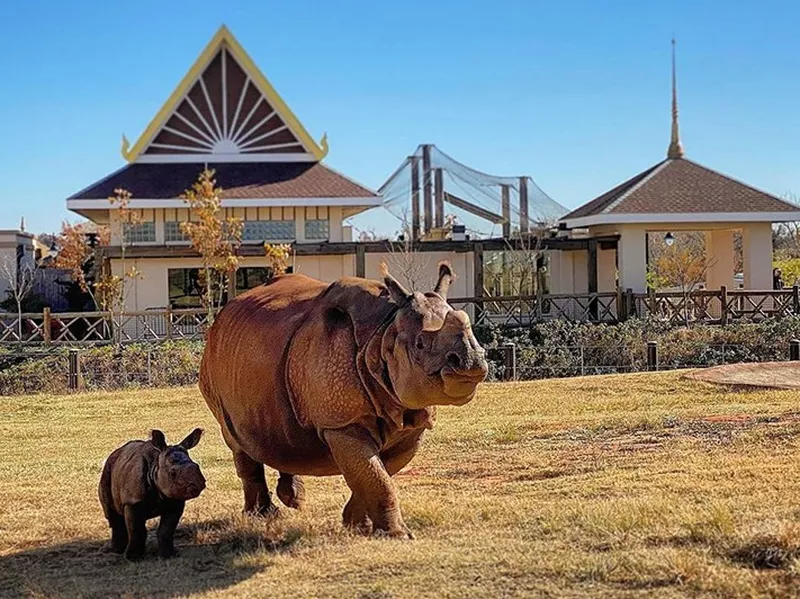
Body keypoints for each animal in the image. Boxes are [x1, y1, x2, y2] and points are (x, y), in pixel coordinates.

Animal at [98, 428, 206, 560]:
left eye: (197, 466)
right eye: (173, 473)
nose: (198, 484)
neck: (156, 466)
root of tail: (115, 453)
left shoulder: (175, 500)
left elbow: (166, 530)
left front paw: (167, 555)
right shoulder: (132, 500)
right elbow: (136, 529)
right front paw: (132, 558)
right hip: (107, 471)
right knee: (111, 514)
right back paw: (116, 550)